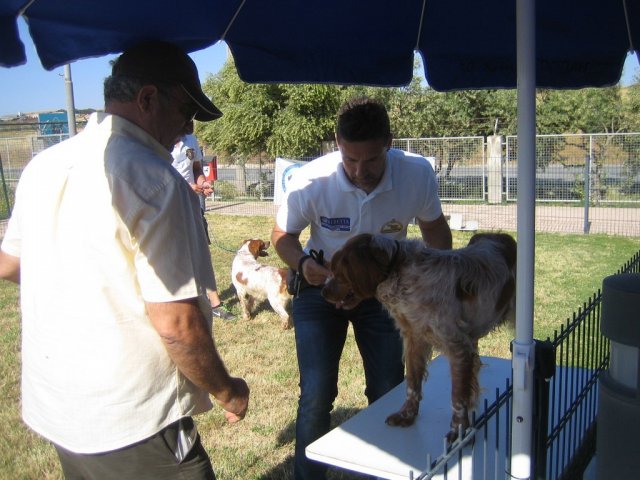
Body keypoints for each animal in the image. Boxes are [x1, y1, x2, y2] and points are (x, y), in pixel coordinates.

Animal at [322, 232, 516, 442]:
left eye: (337, 271)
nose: (323, 292)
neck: (400, 275)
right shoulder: (414, 340)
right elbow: (412, 384)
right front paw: (407, 415)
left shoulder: (457, 346)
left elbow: (458, 396)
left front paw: (459, 431)